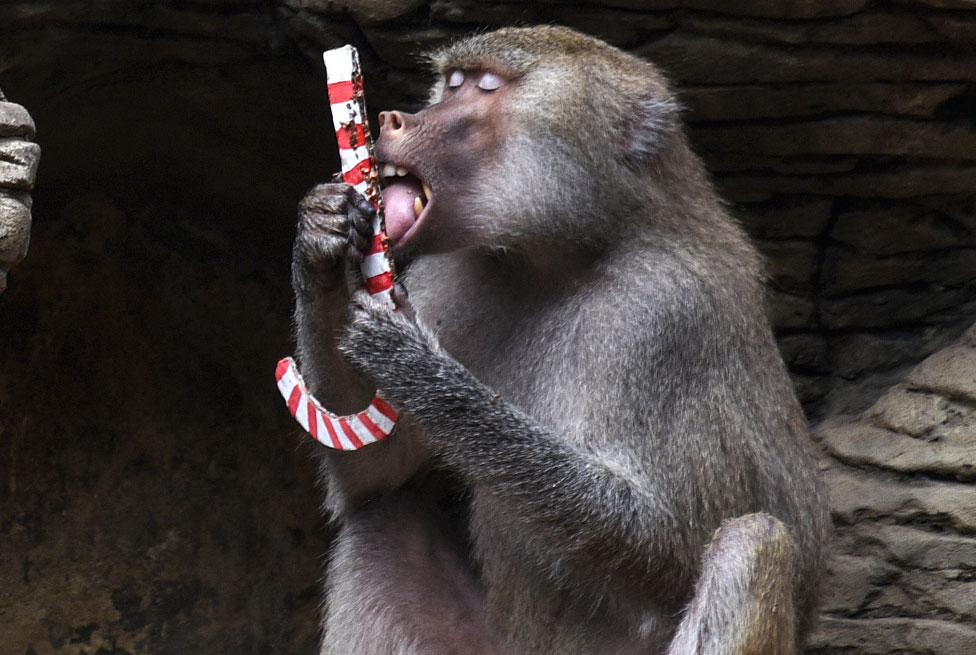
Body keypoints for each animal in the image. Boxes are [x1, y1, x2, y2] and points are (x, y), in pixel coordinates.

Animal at [290, 26, 829, 655]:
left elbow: (664, 541)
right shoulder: (450, 277)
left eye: (486, 86)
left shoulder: (664, 311)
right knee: (384, 518)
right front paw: (321, 233)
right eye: (452, 82)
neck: (566, 255)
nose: (392, 119)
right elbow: (376, 468)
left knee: (753, 545)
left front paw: (421, 371)